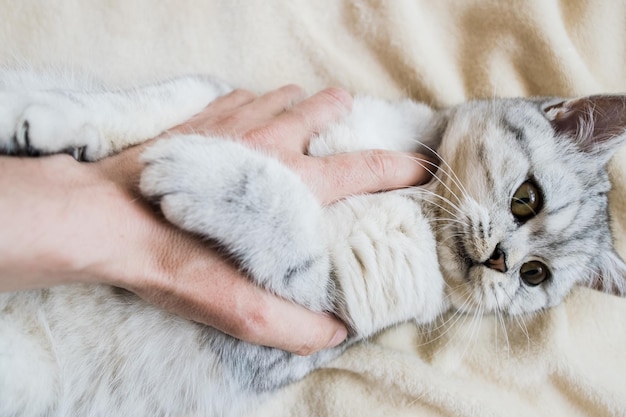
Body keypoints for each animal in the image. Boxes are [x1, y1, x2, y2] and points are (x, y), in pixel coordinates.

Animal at [1, 68, 624, 416]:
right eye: (526, 199)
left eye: (534, 276)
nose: (500, 261)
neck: (421, 204)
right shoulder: (235, 95)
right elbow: (151, 101)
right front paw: (44, 115)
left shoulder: (331, 295)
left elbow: (284, 209)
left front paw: (195, 168)